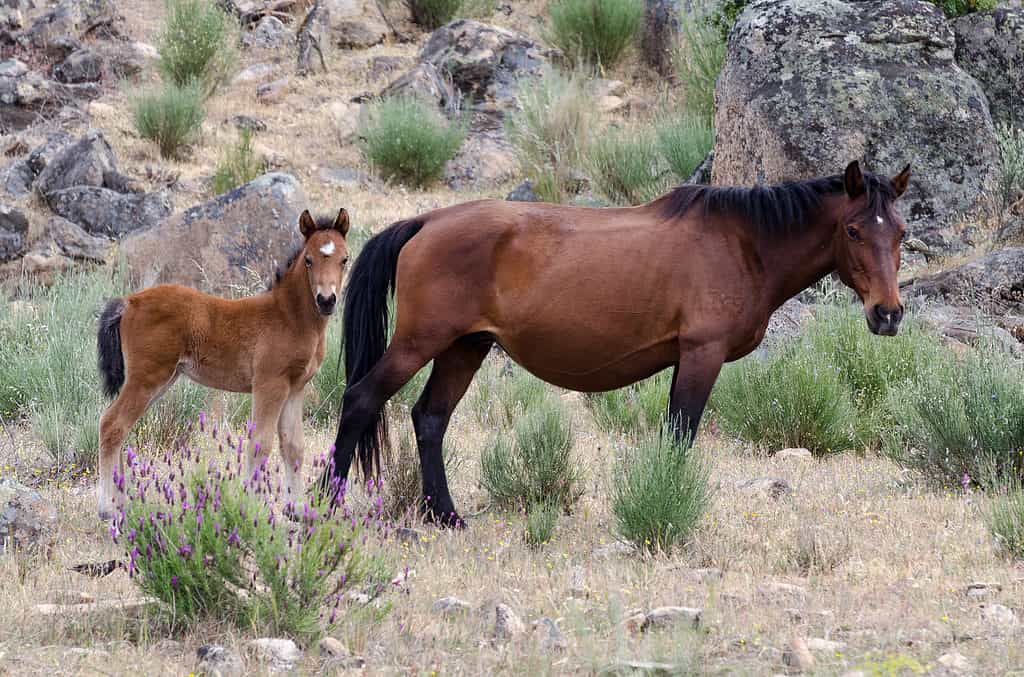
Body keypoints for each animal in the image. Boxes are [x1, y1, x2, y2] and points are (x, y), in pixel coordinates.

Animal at [96, 209, 352, 518]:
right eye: (309, 260)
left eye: (345, 259)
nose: (326, 300)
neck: (289, 317)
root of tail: (129, 301)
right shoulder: (270, 384)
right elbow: (260, 444)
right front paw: (249, 507)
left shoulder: (296, 388)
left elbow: (293, 447)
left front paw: (297, 509)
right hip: (146, 377)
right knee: (112, 424)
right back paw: (107, 508)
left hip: (161, 379)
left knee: (122, 427)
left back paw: (122, 502)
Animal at [321, 159, 913, 528]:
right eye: (855, 230)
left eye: (900, 232)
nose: (887, 314)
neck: (744, 244)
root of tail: (425, 221)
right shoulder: (701, 354)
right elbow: (680, 435)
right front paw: (666, 503)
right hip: (420, 342)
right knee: (362, 400)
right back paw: (327, 505)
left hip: (465, 347)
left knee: (430, 419)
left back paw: (446, 516)